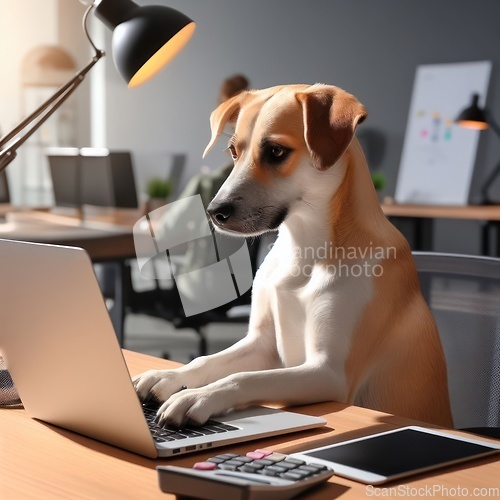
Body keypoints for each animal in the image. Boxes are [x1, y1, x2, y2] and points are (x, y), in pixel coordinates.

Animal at [133, 84, 454, 428]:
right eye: (233, 152)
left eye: (276, 151)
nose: (214, 212)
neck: (304, 252)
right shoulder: (262, 345)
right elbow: (204, 360)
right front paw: (167, 376)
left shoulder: (328, 372)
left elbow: (244, 378)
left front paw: (197, 396)